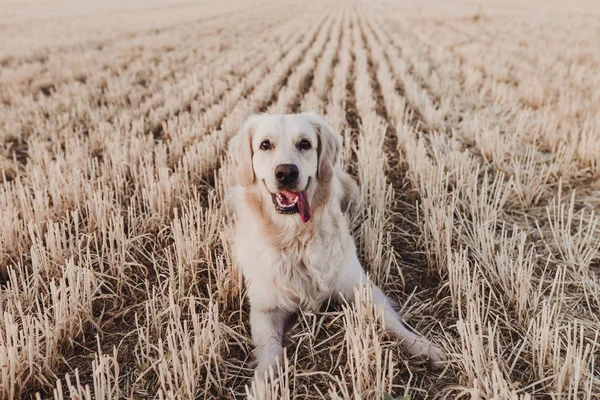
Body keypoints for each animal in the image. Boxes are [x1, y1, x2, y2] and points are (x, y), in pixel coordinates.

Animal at [227, 111, 442, 378]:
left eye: (305, 143)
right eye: (265, 145)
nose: (286, 173)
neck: (296, 236)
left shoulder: (360, 286)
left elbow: (389, 319)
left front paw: (422, 346)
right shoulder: (264, 308)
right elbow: (270, 348)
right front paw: (263, 380)